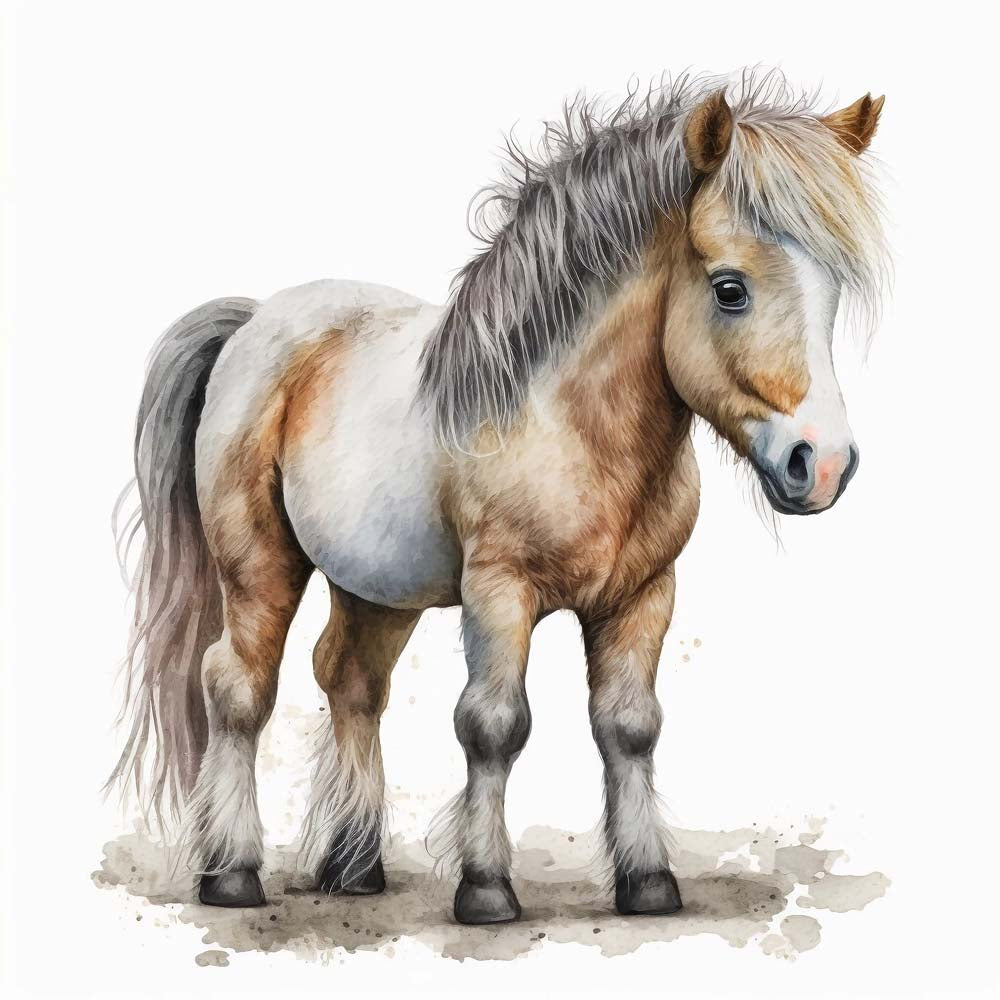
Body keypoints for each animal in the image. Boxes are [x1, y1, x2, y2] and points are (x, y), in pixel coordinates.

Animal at [109, 71, 887, 925]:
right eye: (730, 289)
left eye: (831, 293)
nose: (824, 464)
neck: (569, 422)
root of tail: (256, 324)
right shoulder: (498, 592)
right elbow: (492, 725)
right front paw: (485, 886)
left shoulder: (643, 595)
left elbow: (630, 727)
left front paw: (648, 881)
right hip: (259, 568)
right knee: (238, 689)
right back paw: (232, 872)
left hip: (376, 591)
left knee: (351, 683)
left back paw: (354, 865)